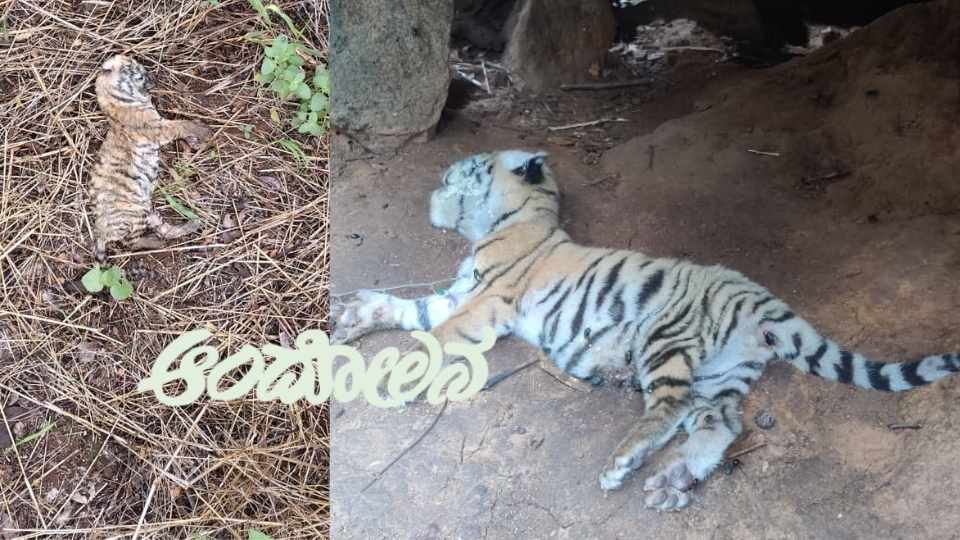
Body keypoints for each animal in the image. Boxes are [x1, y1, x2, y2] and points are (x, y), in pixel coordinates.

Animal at [90, 54, 212, 263]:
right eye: (137, 72)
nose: (154, 77)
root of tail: (101, 231)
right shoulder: (159, 127)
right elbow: (182, 124)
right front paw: (203, 130)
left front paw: (195, 141)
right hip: (133, 214)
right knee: (129, 244)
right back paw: (159, 242)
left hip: (147, 211)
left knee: (162, 230)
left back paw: (192, 224)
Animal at [330, 149, 960, 511]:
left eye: (466, 167)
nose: (438, 180)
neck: (514, 219)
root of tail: (756, 296)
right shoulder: (464, 292)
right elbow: (412, 312)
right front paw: (356, 318)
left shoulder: (487, 299)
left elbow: (437, 335)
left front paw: (393, 373)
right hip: (723, 375)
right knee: (719, 423)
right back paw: (672, 481)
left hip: (665, 342)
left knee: (670, 411)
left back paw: (626, 463)